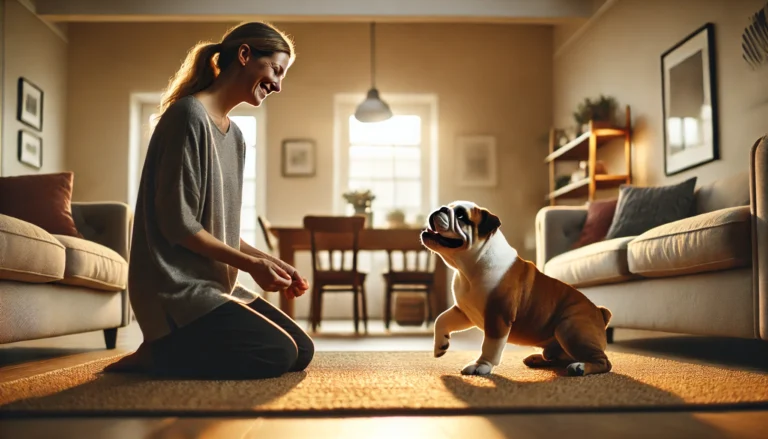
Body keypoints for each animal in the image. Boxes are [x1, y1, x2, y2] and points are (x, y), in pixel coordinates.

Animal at [420, 201, 612, 376]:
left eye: (460, 216)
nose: (441, 208)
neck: (470, 267)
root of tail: (600, 311)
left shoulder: (497, 317)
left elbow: (490, 346)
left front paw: (481, 365)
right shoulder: (464, 311)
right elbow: (441, 319)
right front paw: (440, 345)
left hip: (571, 329)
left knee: (604, 362)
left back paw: (580, 367)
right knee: (558, 357)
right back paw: (536, 359)